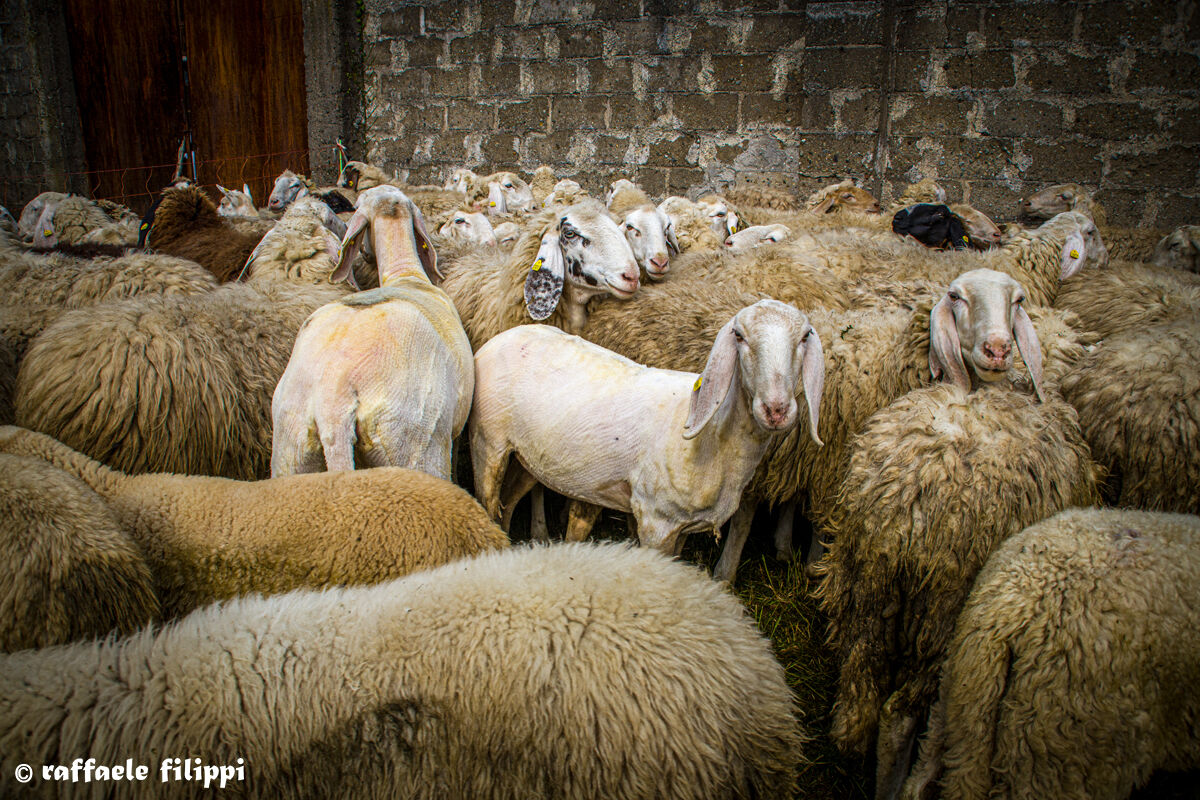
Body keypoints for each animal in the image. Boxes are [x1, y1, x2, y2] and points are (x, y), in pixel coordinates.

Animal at [472, 300, 824, 555]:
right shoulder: (656, 520)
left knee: (507, 505)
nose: (776, 409)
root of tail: (503, 337)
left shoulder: (682, 528)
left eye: (805, 336)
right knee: (488, 502)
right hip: (487, 443)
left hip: (529, 458)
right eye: (739, 335)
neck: (714, 440)